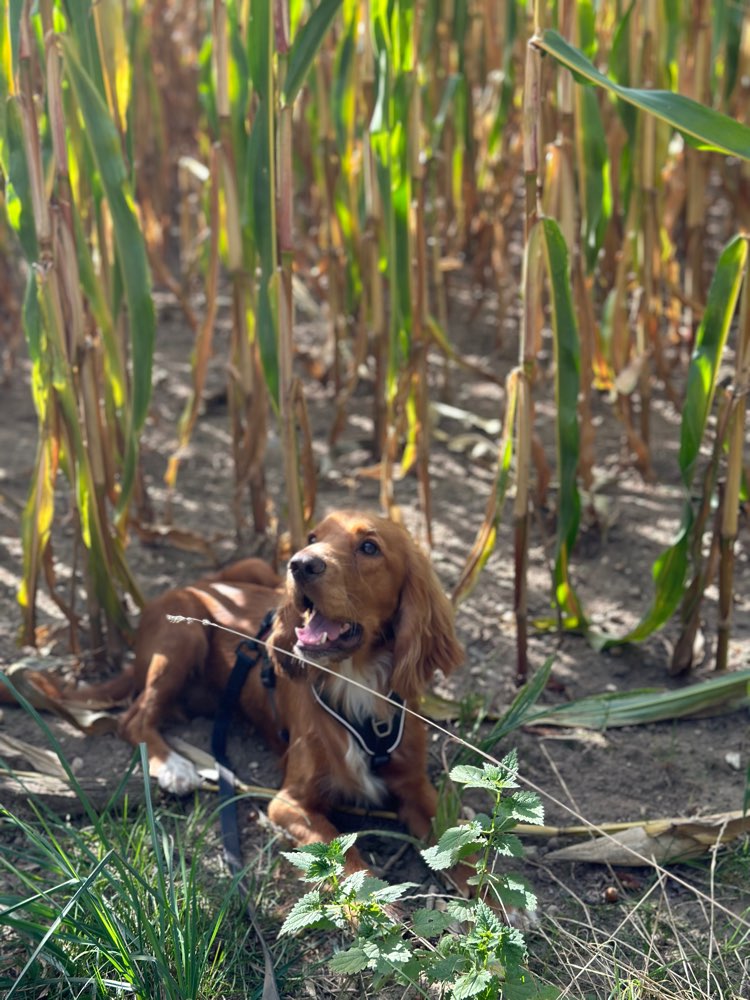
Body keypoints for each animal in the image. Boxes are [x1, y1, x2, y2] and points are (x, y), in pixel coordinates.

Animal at [67, 512, 464, 872]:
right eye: (312, 537)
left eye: (369, 547)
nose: (300, 564)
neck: (356, 683)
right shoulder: (289, 803)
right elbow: (348, 863)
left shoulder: (417, 786)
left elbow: (460, 847)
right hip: (184, 634)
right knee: (133, 717)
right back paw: (175, 767)